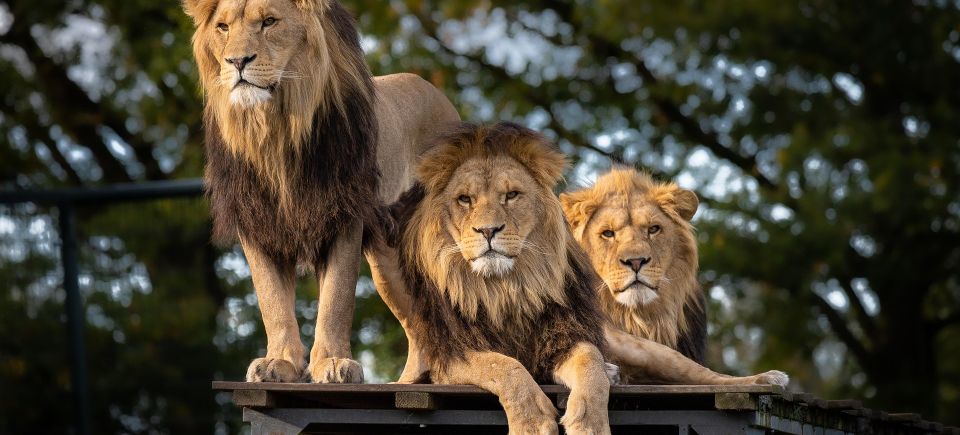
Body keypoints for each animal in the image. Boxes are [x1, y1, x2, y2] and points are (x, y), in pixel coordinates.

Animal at [182, 0, 458, 383]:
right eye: (222, 27)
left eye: (269, 22)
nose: (237, 61)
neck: (275, 132)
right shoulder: (256, 221)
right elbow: (271, 300)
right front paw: (279, 362)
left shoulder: (343, 214)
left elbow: (335, 298)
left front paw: (333, 362)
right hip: (388, 261)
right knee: (419, 327)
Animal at [388, 122, 611, 434]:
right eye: (465, 199)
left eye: (512, 195)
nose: (488, 230)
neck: (504, 291)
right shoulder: (450, 353)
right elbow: (503, 366)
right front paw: (531, 423)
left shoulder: (563, 336)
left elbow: (591, 362)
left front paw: (590, 422)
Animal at [562, 167, 787, 385]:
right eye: (608, 233)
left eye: (653, 229)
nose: (636, 261)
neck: (636, 317)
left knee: (705, 374)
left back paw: (768, 378)